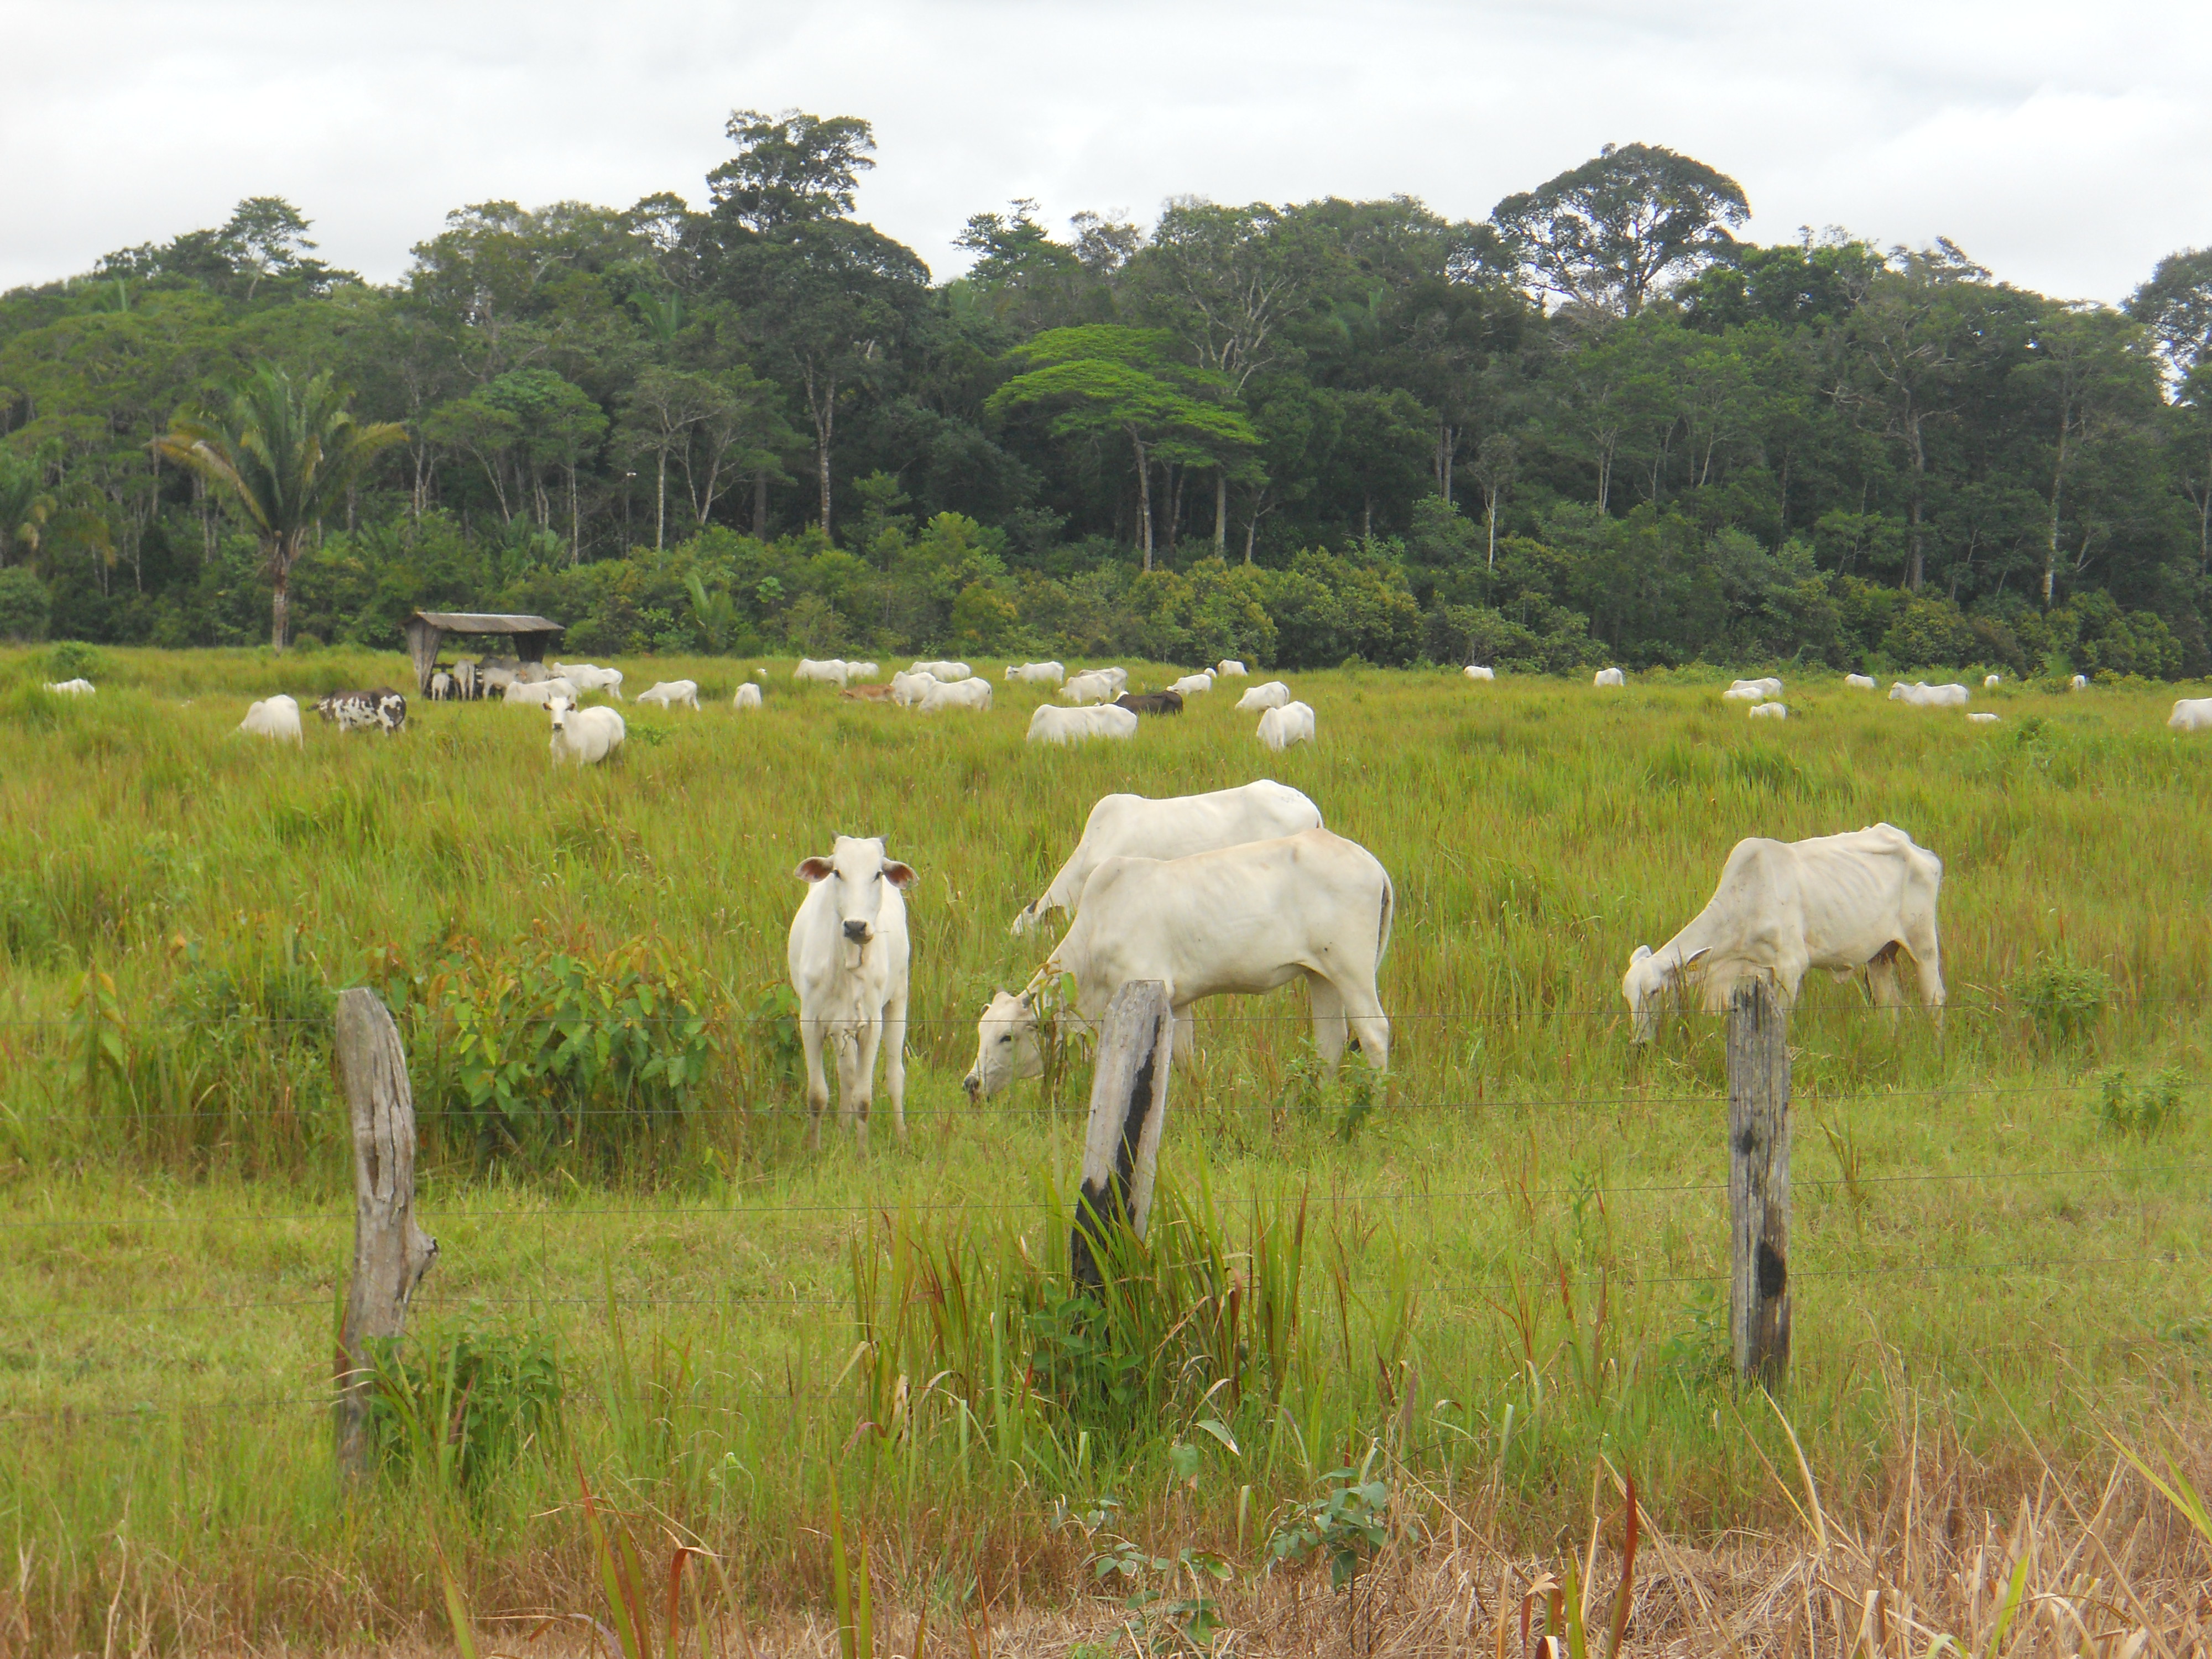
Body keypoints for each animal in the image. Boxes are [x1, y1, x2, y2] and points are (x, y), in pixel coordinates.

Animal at [548, 696, 624, 765]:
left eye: (567, 709)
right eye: (550, 708)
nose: (558, 725)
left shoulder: (579, 761)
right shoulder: (555, 762)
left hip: (618, 748)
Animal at [787, 834, 915, 1148]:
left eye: (878, 874)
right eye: (837, 872)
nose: (856, 926)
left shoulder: (871, 1024)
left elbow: (864, 1099)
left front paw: (862, 1153)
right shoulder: (811, 1021)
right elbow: (818, 1096)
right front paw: (815, 1149)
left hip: (898, 999)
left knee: (895, 1076)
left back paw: (902, 1137)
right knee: (846, 1074)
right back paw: (843, 1129)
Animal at [964, 828, 1394, 1098]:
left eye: (1007, 1037)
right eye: (981, 1033)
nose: (971, 1084)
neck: (1098, 929)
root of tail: (1369, 861)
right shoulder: (1181, 1001)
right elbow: (1186, 1061)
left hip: (1352, 972)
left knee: (1374, 1033)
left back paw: (1375, 1104)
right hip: (1321, 976)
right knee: (1331, 1041)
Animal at [1620, 822, 1945, 1043]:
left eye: (1654, 991)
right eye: (1627, 997)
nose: (1639, 1044)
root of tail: (1912, 845)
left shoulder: (1791, 967)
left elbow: (1783, 1021)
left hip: (1923, 944)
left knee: (1934, 998)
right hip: (1880, 954)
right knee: (1890, 1006)